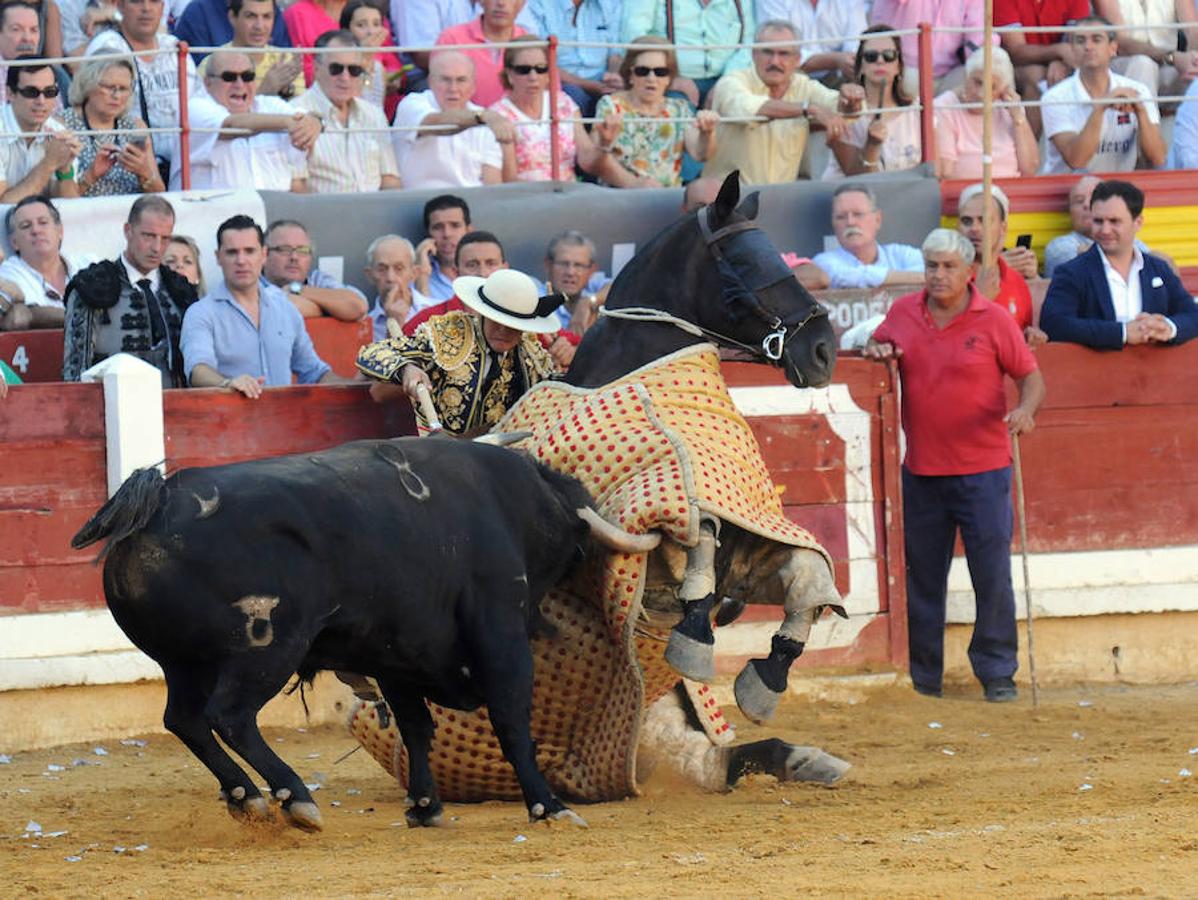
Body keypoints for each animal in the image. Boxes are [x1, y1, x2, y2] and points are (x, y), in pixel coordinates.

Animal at [70, 438, 661, 829]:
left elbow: (417, 728)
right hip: (265, 651)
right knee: (230, 717)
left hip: (182, 663)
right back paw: (295, 797)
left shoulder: (398, 657)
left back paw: (245, 797)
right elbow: (512, 719)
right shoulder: (501, 637)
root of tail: (158, 505)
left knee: (185, 720)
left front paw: (426, 807)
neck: (511, 503)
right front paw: (549, 806)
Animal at [558, 173, 843, 786]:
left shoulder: (751, 536)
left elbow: (804, 575)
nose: (824, 351)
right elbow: (698, 547)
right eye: (744, 260)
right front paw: (693, 638)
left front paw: (764, 681)